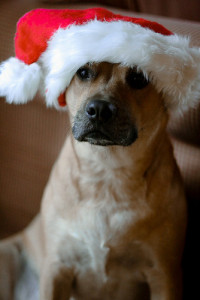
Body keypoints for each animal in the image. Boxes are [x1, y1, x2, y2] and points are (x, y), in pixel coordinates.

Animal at [0, 62, 188, 298]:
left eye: (139, 78)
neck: (107, 174)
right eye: (82, 72)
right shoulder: (57, 266)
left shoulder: (164, 274)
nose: (98, 109)